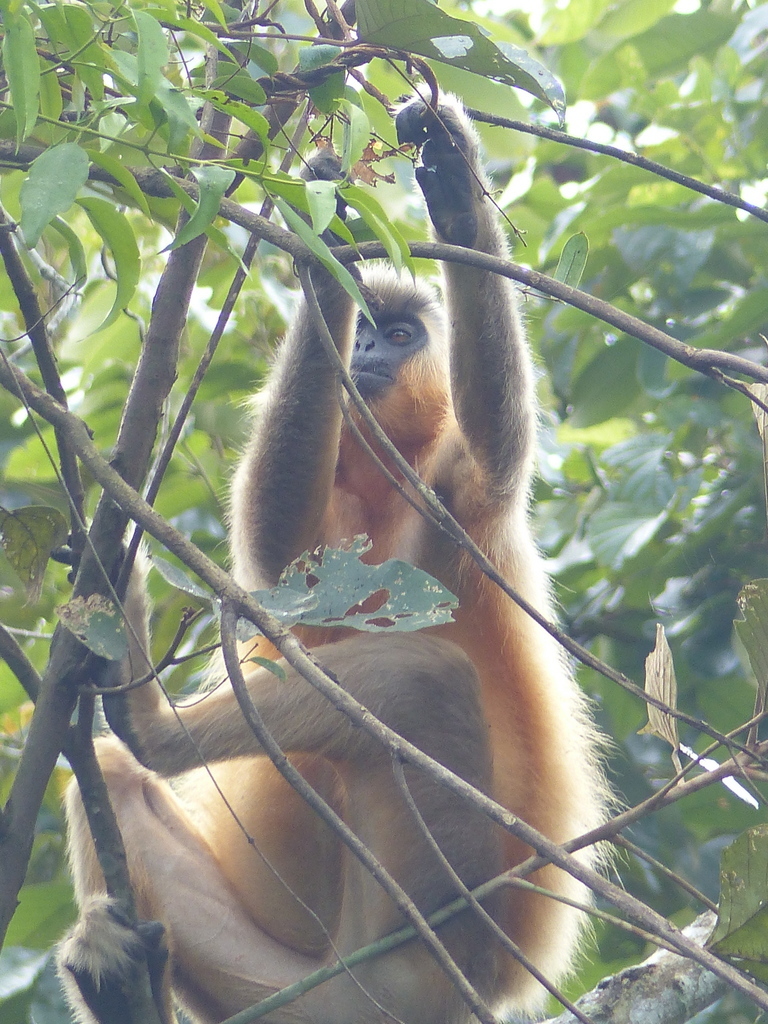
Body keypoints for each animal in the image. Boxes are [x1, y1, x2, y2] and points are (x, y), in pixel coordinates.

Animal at [58, 97, 606, 1024]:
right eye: (366, 335)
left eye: (399, 333)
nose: (368, 353)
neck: (390, 482)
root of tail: (462, 994)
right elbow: (278, 560)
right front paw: (325, 241)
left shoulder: (462, 484)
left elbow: (497, 443)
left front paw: (451, 184)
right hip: (316, 986)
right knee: (117, 782)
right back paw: (128, 987)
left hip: (431, 908)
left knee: (423, 681)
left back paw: (147, 718)